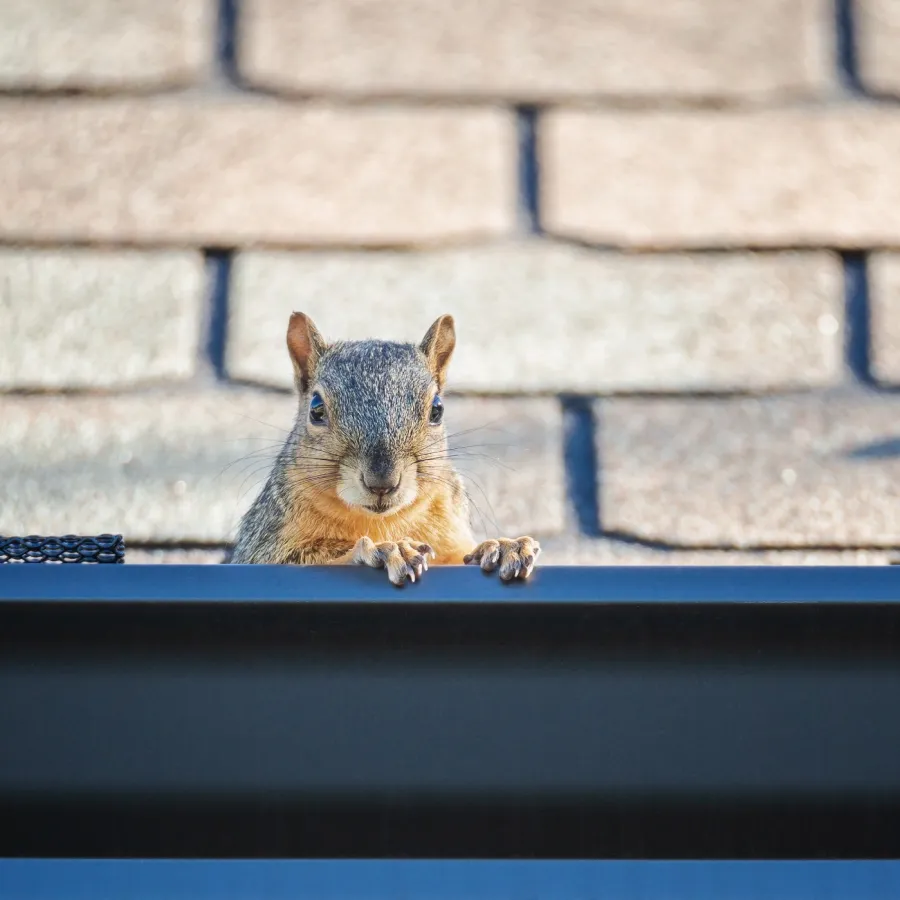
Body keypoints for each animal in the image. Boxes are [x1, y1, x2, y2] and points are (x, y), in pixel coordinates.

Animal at [230, 312, 540, 588]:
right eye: (316, 409)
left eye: (437, 409)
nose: (382, 482)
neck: (382, 521)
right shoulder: (263, 547)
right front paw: (383, 550)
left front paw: (501, 547)